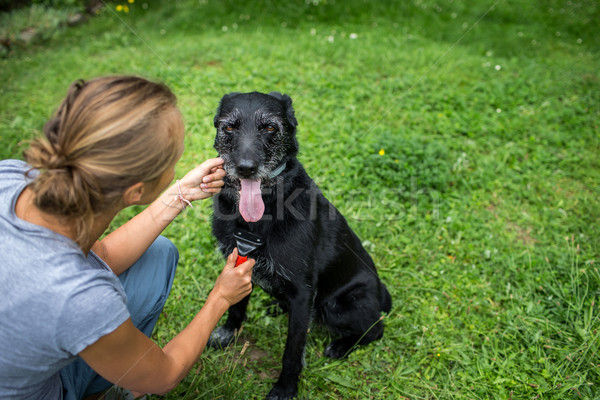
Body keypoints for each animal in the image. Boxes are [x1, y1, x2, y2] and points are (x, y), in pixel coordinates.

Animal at [209, 91, 392, 400]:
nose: (246, 168)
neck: (261, 217)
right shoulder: (239, 266)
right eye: (229, 127)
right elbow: (235, 308)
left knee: (376, 328)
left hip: (337, 306)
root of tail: (381, 291)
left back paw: (341, 346)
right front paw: (227, 334)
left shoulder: (304, 292)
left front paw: (285, 388)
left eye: (270, 128)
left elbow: (293, 349)